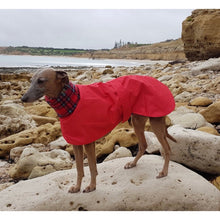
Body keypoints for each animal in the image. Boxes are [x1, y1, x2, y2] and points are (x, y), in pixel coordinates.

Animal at [21, 68, 177, 193]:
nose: (23, 98)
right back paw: (132, 163)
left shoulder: (89, 142)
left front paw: (91, 186)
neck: (71, 101)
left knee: (167, 148)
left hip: (155, 122)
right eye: (31, 80)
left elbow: (91, 167)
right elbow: (79, 168)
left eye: (41, 81)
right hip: (137, 121)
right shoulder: (76, 143)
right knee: (143, 145)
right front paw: (77, 187)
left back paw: (163, 172)